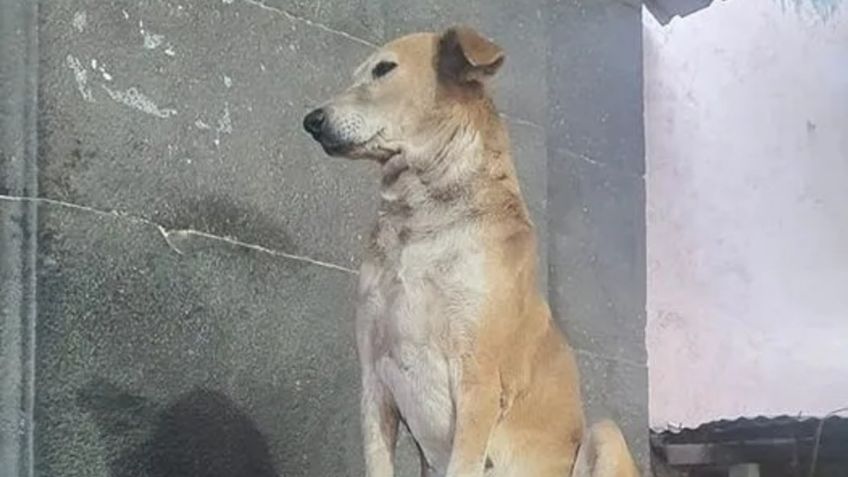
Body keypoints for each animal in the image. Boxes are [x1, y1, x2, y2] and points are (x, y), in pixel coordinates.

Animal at [302, 25, 640, 476]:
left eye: (384, 69)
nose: (311, 121)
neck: (420, 224)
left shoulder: (477, 380)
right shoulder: (373, 381)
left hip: (605, 432)